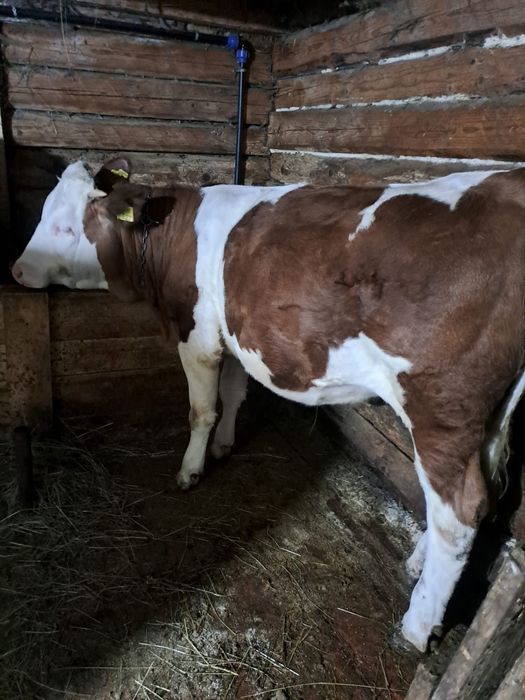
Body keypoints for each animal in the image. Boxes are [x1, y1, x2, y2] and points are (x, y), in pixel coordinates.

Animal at [12, 157, 525, 654]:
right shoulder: (234, 337)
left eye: (65, 226)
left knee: (460, 511)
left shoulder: (196, 336)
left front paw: (191, 469)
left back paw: (417, 626)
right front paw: (224, 446)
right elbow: (234, 394)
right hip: (488, 418)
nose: (16, 269)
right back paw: (419, 563)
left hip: (441, 403)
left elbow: (201, 409)